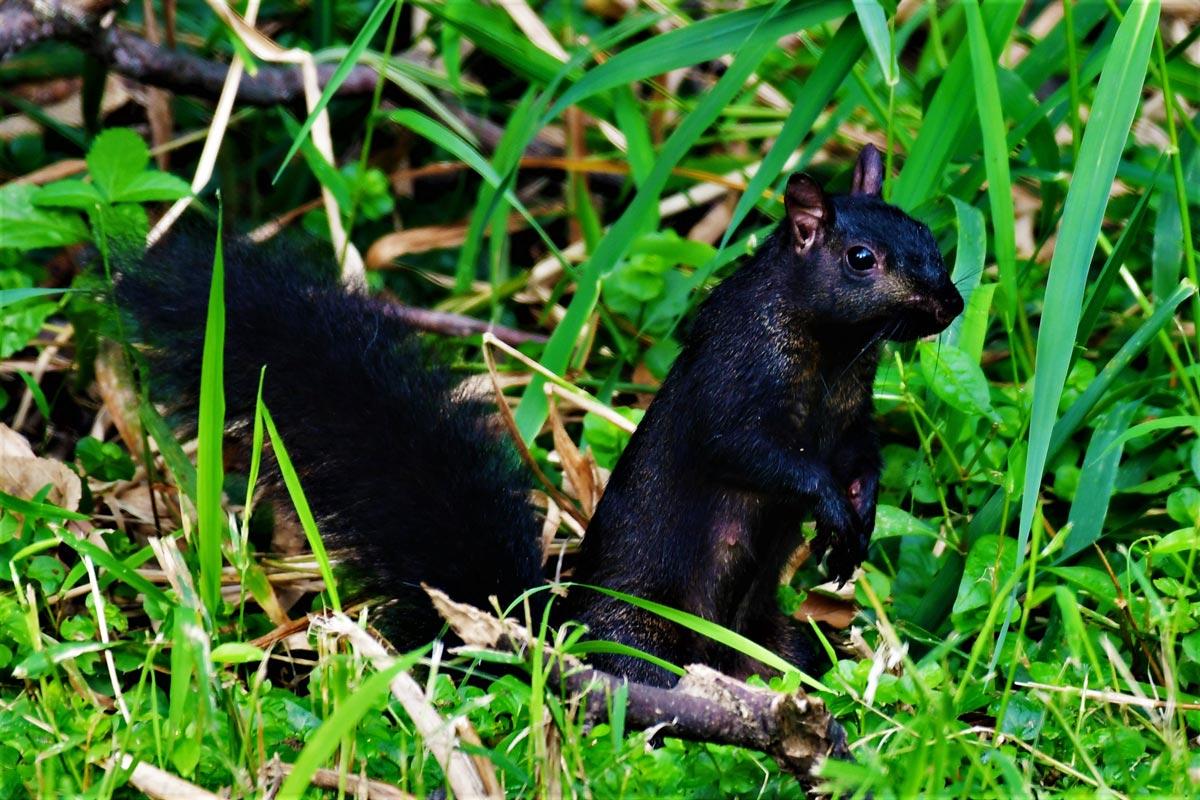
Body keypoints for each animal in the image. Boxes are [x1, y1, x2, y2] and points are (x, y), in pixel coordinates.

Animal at [110, 146, 955, 690]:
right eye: (860, 260)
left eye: (933, 239)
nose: (948, 305)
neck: (834, 359)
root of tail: (558, 640)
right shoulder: (736, 384)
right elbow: (754, 452)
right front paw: (829, 509)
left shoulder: (851, 420)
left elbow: (865, 457)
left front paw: (859, 519)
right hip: (644, 641)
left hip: (772, 638)